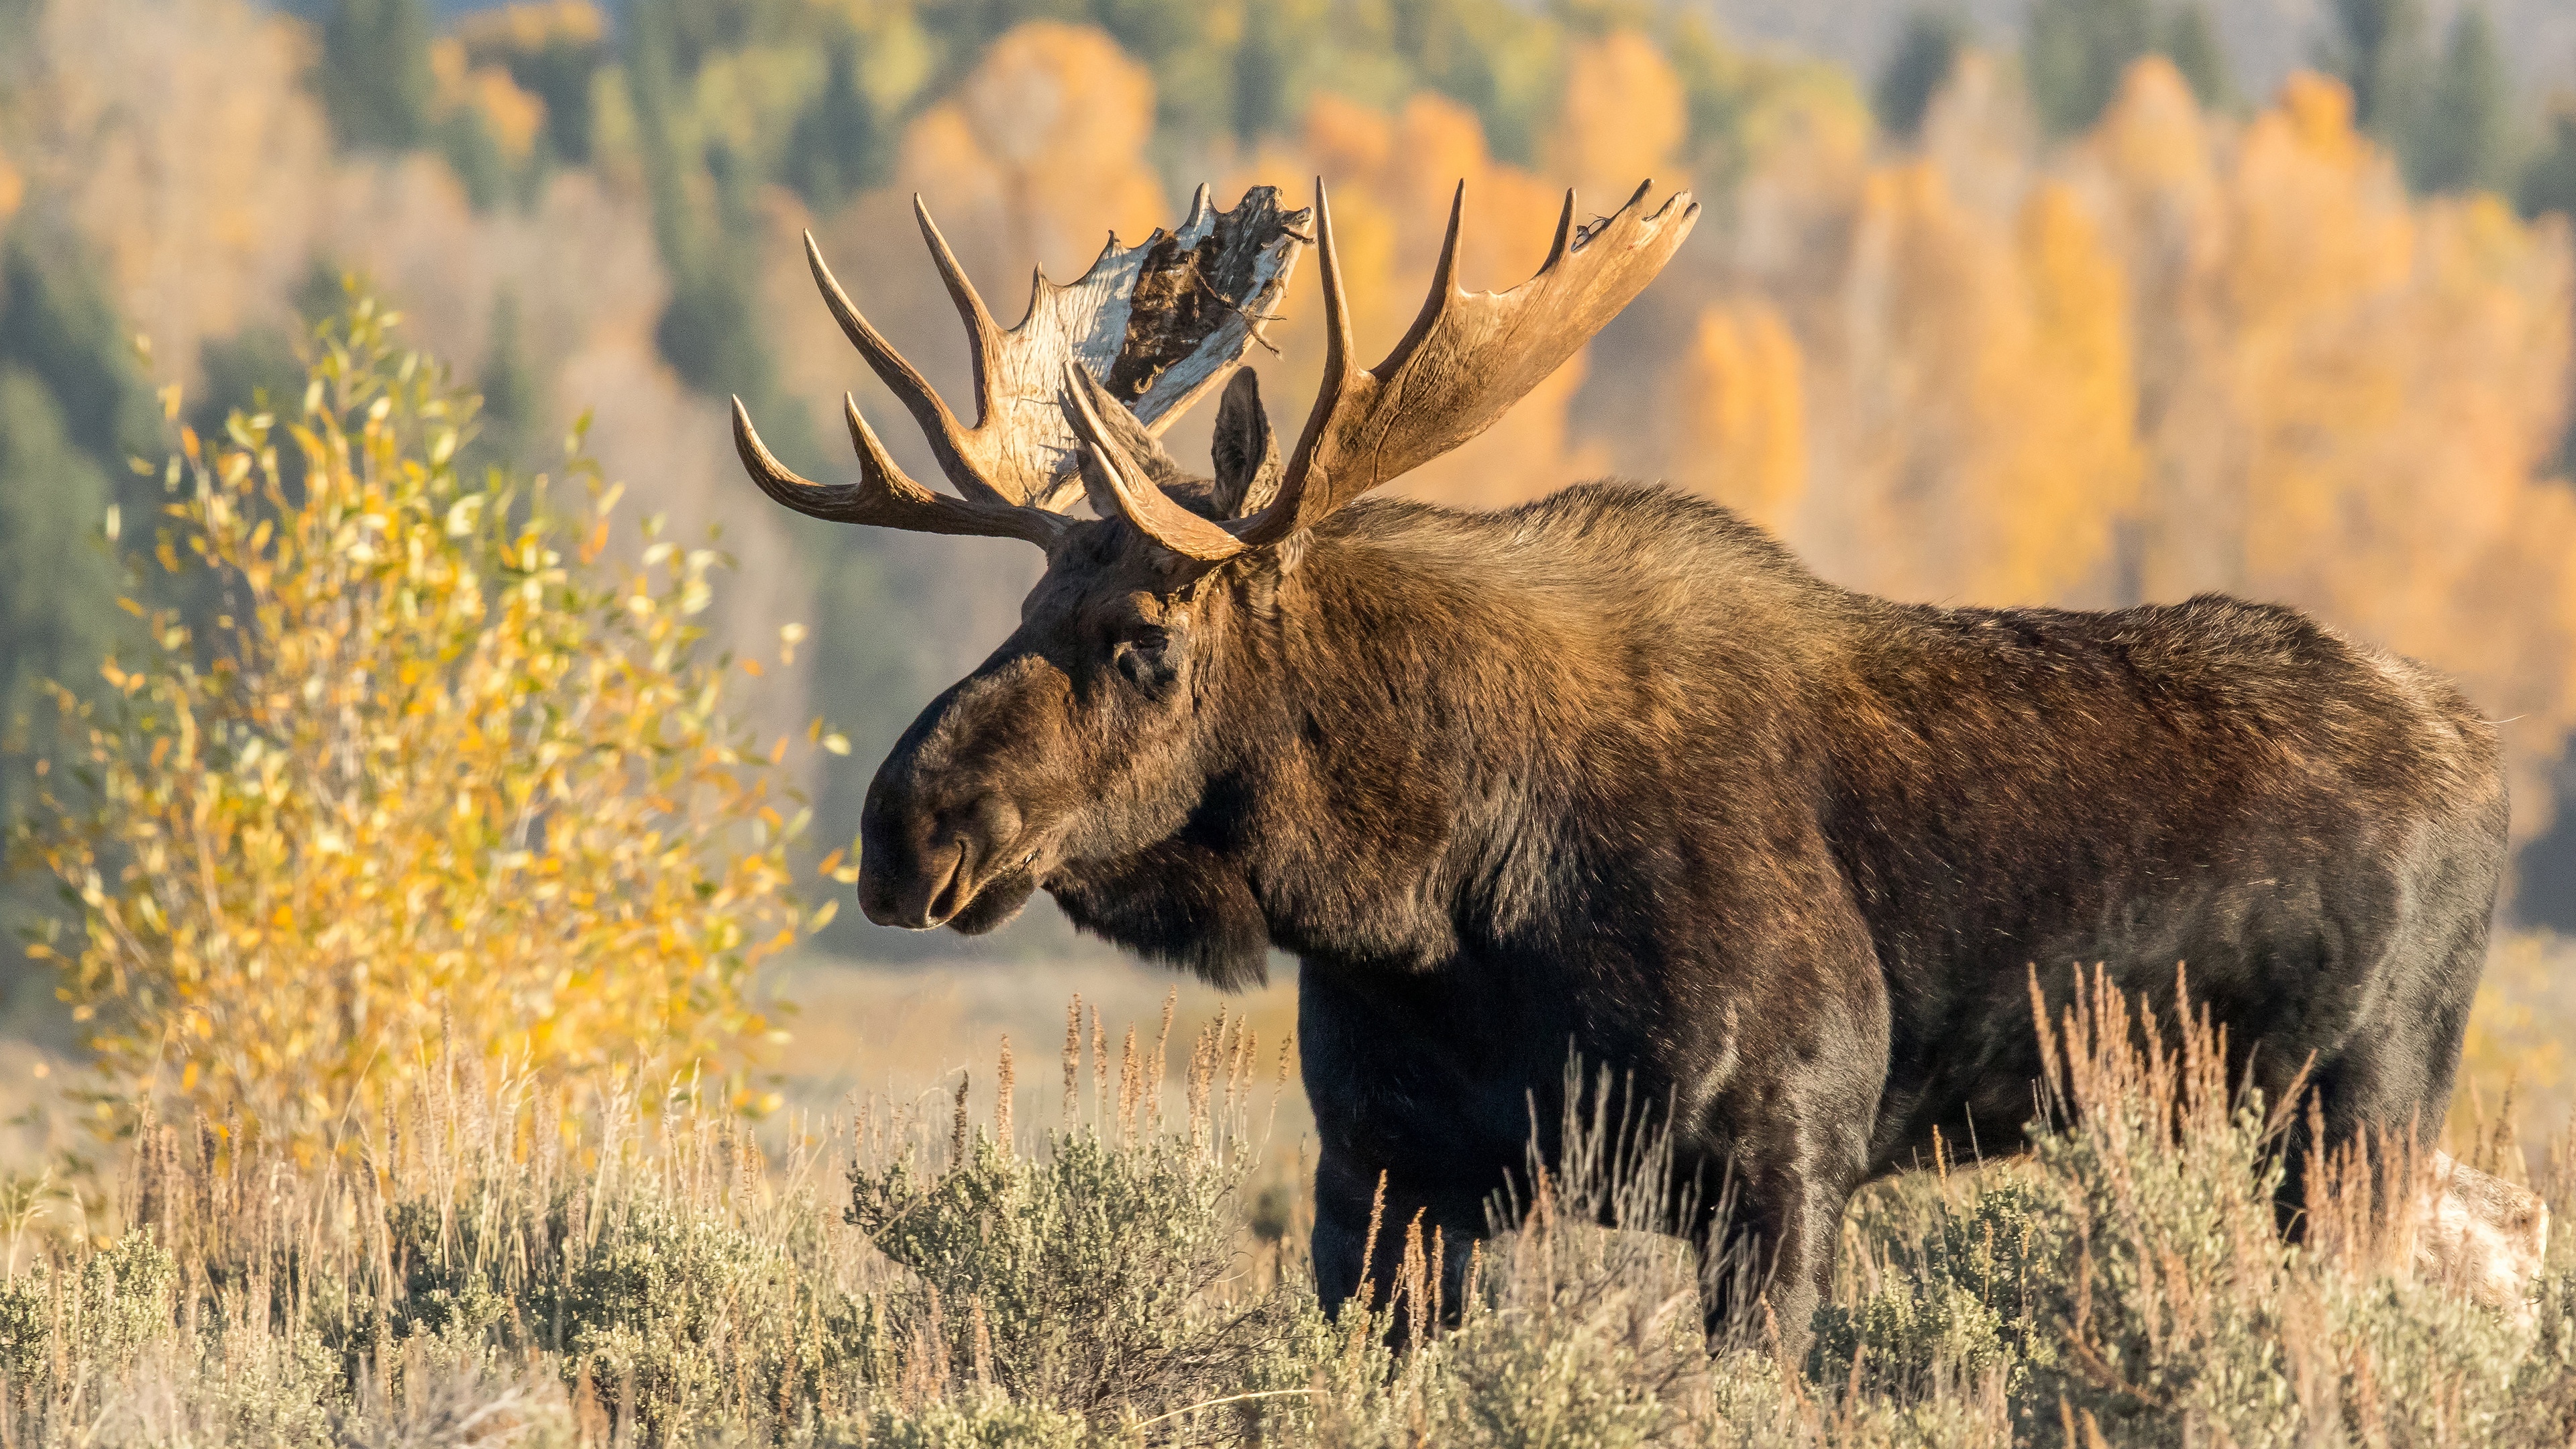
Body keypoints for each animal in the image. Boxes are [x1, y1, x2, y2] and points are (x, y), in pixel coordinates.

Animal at [737, 180, 2504, 1340]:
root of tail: (2480, 747)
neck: (1433, 902)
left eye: (1147, 641)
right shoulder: (1382, 1180)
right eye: (1025, 602)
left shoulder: (1784, 1163)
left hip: (2360, 1114)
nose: (902, 829)